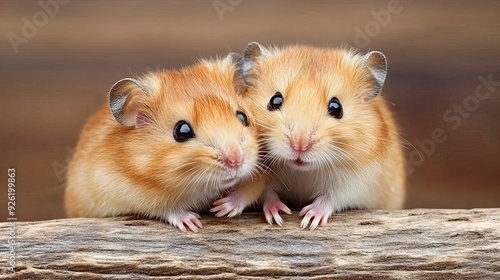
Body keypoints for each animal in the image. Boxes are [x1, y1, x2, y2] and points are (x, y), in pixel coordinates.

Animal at [65, 53, 266, 233]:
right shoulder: (122, 190)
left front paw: (222, 208)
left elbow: (249, 191)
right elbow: (164, 209)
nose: (236, 161)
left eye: (242, 116)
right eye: (181, 131)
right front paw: (192, 223)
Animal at [238, 42, 406, 230]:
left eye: (336, 107)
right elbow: (267, 192)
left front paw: (309, 221)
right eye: (275, 101)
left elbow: (330, 198)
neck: (301, 171)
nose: (300, 146)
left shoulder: (356, 182)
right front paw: (277, 216)